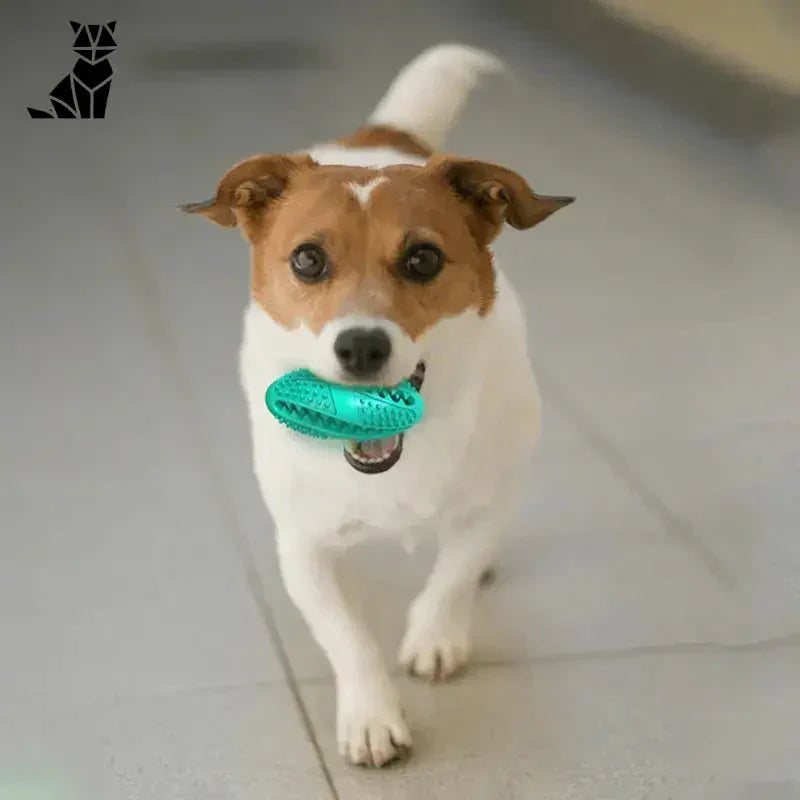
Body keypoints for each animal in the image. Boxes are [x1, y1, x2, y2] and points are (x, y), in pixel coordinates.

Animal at [183, 45, 568, 768]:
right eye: (307, 259)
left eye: (423, 259)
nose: (361, 346)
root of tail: (378, 141)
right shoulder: (305, 546)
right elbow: (347, 636)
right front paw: (370, 714)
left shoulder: (488, 501)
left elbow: (452, 574)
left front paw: (436, 635)